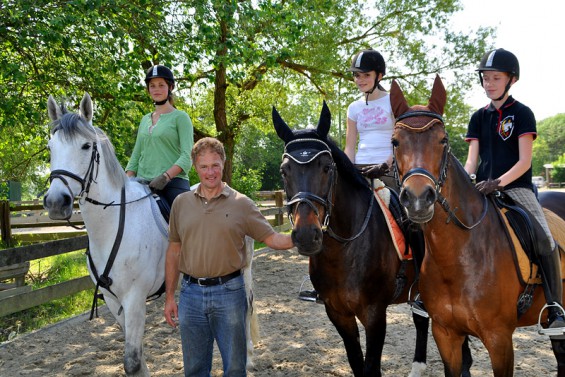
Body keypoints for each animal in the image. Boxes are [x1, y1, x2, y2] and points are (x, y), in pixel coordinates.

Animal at [44, 92, 258, 374]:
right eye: (50, 147)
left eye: (86, 146)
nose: (56, 202)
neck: (112, 227)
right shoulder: (113, 301)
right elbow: (137, 357)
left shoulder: (134, 298)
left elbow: (132, 361)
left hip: (244, 269)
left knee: (245, 309)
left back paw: (248, 358)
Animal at [274, 103, 432, 376]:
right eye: (285, 171)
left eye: (327, 167)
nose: (306, 235)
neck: (344, 250)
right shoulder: (338, 314)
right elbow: (357, 363)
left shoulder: (375, 314)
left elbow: (371, 368)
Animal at [390, 74, 564, 376]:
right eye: (395, 141)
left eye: (443, 140)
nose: (418, 199)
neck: (459, 257)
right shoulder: (446, 334)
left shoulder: (499, 339)